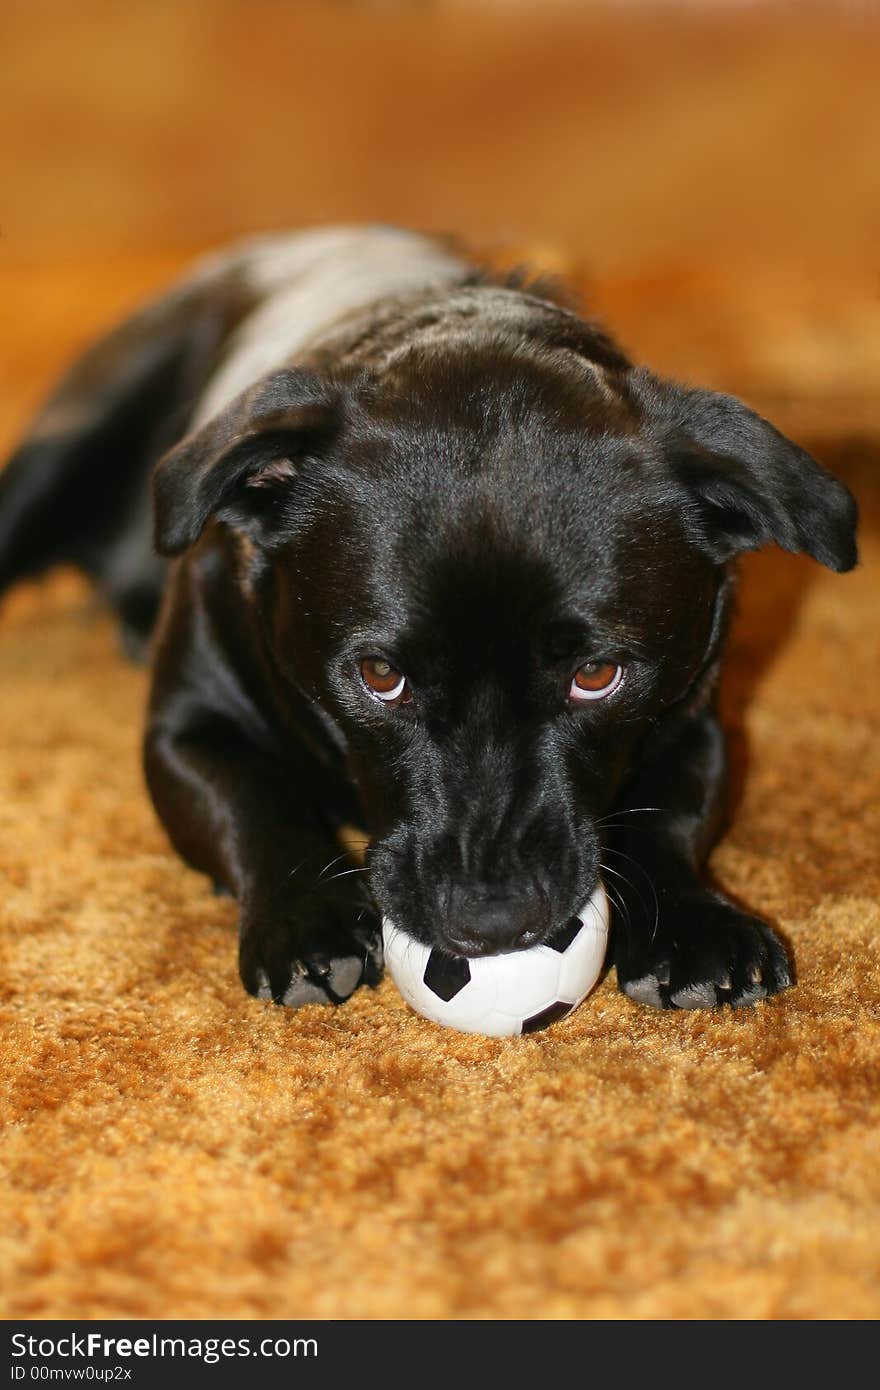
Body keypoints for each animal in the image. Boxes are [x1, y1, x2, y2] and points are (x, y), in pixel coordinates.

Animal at [0, 225, 850, 1011]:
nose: (492, 922)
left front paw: (697, 926)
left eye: (597, 674)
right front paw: (307, 917)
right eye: (380, 675)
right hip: (60, 454)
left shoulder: (694, 719)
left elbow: (669, 817)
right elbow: (254, 804)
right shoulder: (186, 731)